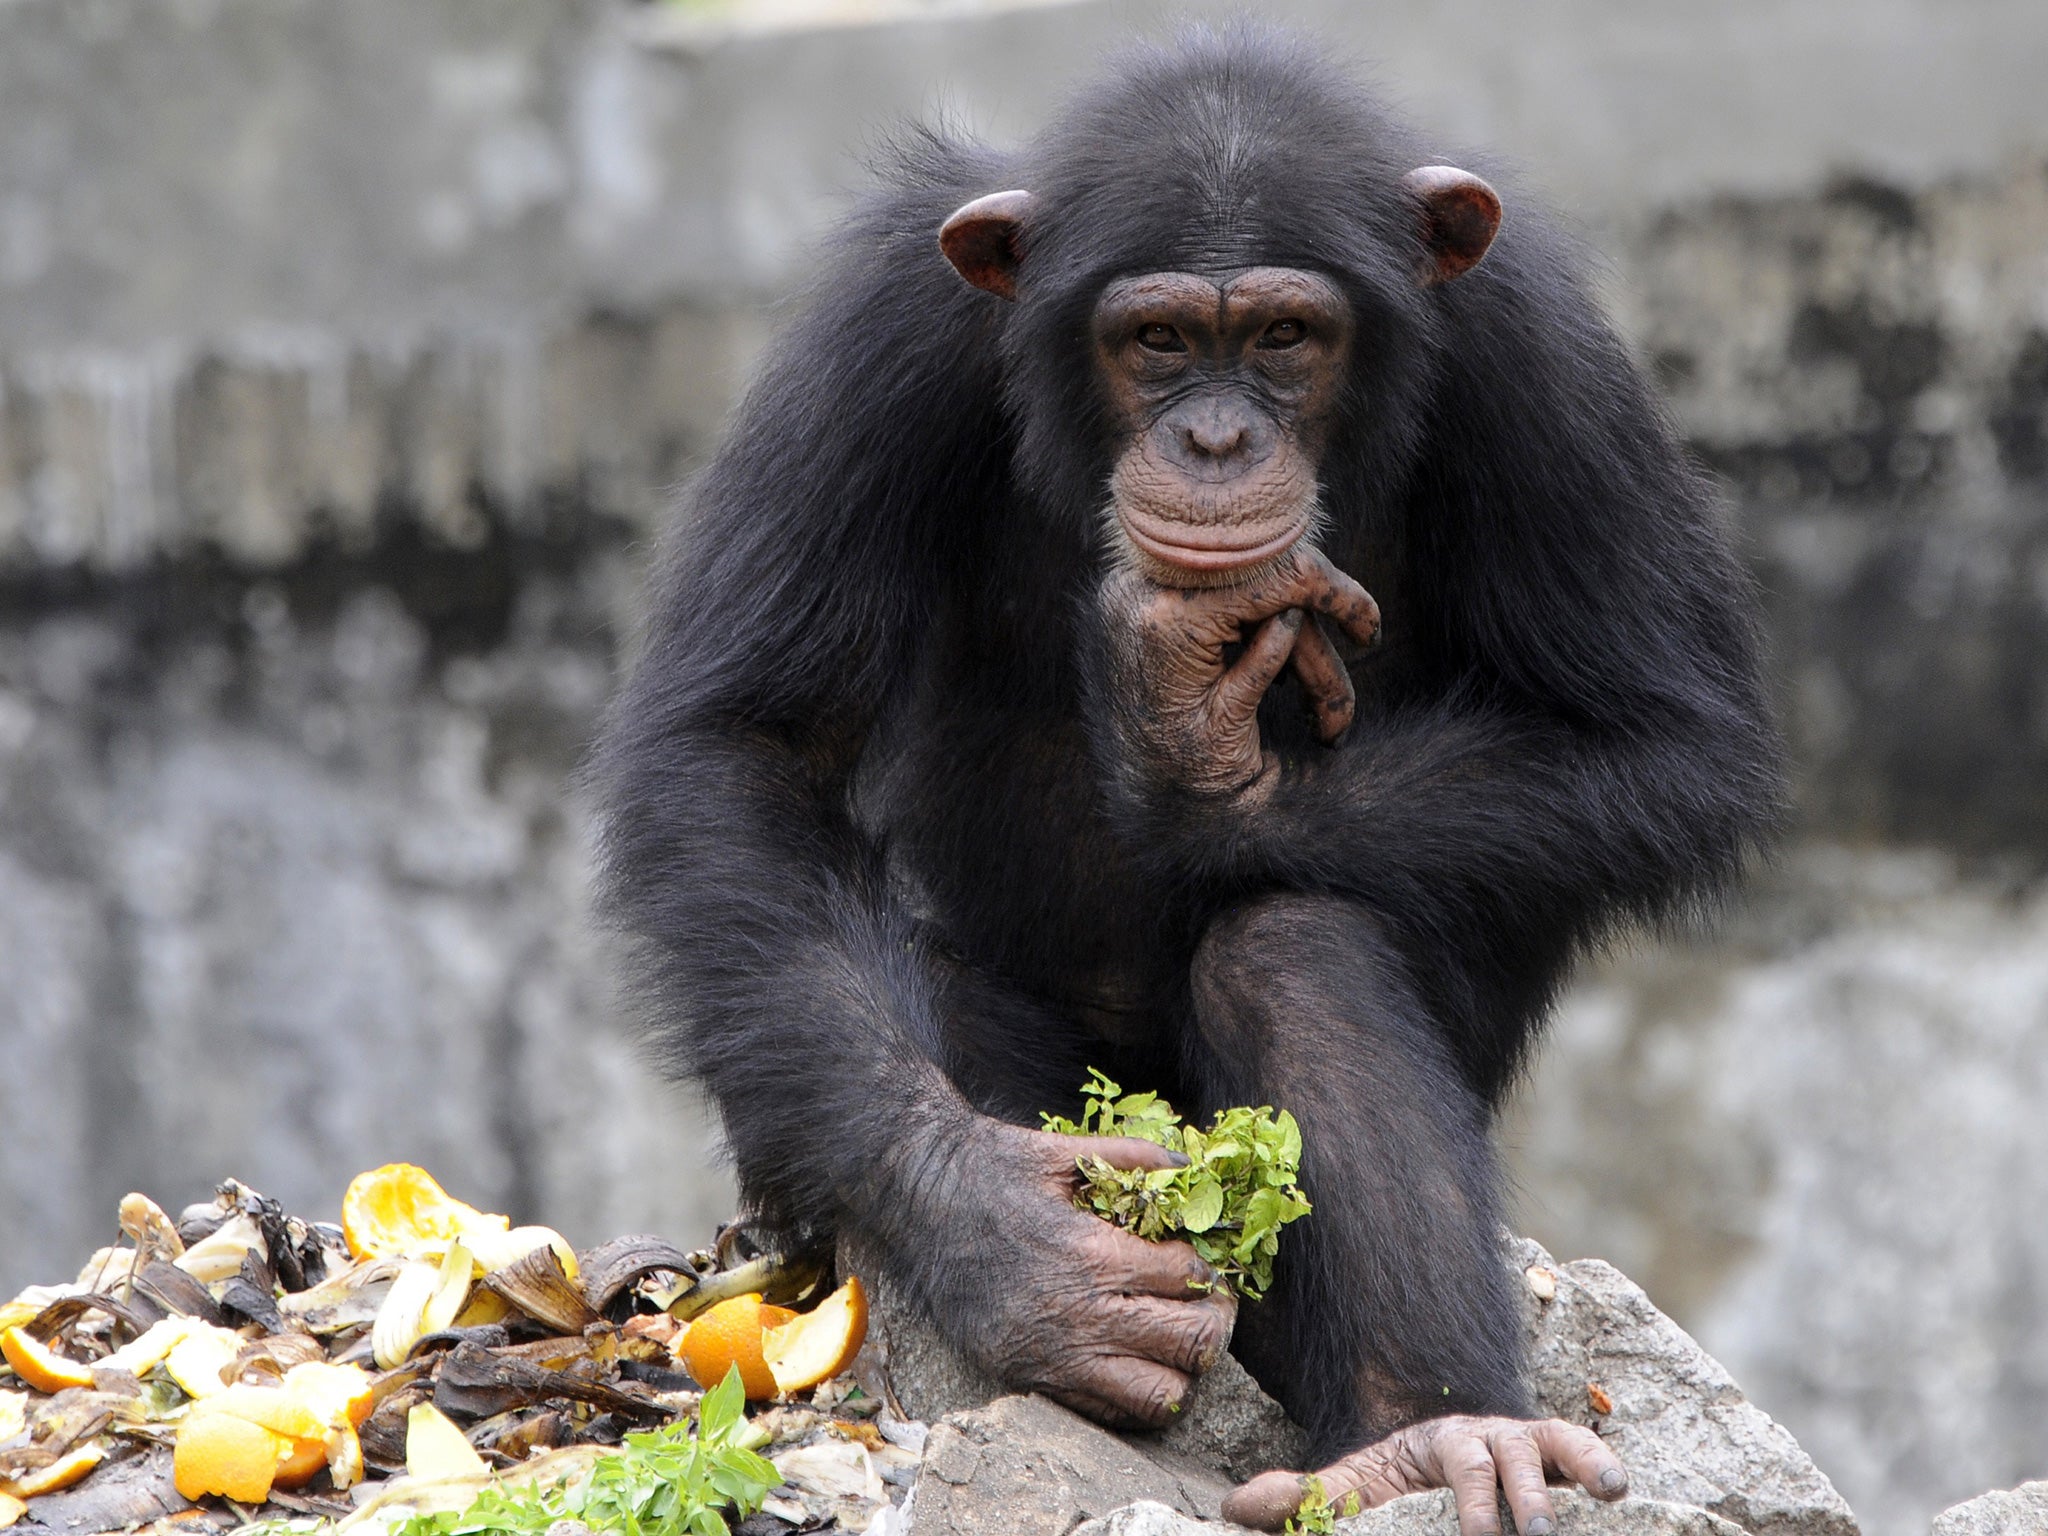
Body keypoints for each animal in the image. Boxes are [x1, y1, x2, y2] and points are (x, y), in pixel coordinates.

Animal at [589, 27, 1777, 1536]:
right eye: (1156, 341)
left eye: (1282, 338)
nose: (1215, 442)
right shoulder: (879, 329)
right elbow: (749, 741)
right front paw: (1013, 1240)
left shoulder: (1540, 352)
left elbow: (1660, 735)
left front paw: (1189, 756)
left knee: (1293, 949)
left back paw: (1427, 1433)